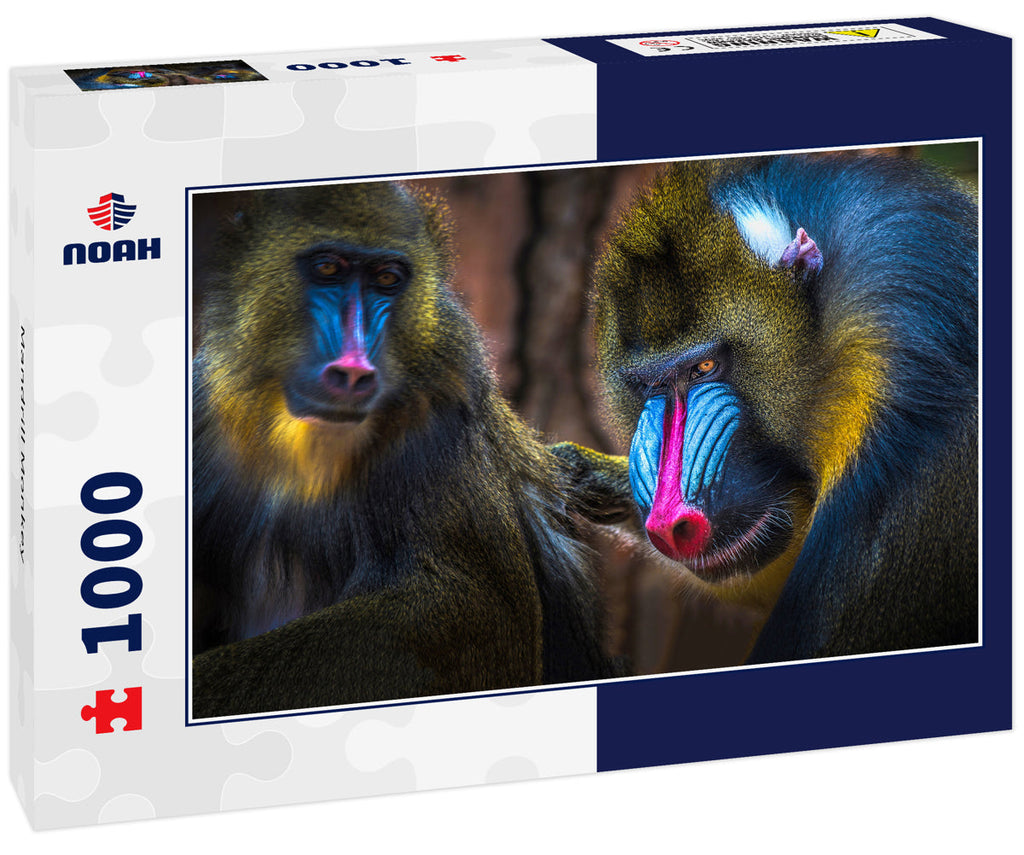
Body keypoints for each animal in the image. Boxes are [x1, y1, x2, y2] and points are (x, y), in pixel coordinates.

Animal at [190, 180, 622, 718]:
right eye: (328, 269)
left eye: (387, 279)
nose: (354, 371)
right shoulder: (204, 411)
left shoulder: (436, 423)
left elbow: (472, 608)